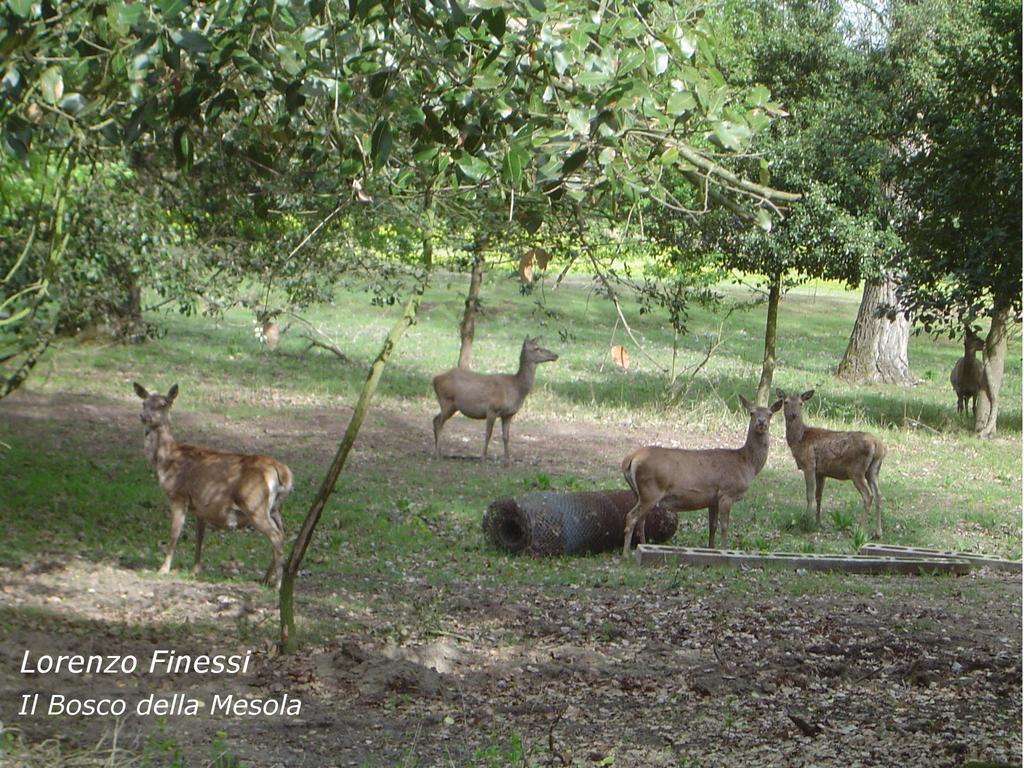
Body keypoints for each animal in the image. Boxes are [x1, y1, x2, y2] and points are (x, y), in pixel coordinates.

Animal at [133, 382, 292, 589]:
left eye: (163, 404)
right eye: (144, 402)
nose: (145, 416)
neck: (166, 461)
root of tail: (281, 471)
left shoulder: (179, 495)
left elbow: (174, 534)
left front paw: (163, 569)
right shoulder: (200, 506)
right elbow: (199, 537)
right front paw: (195, 570)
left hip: (254, 504)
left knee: (276, 536)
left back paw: (277, 584)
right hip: (275, 508)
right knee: (283, 534)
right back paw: (266, 579)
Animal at [432, 335, 561, 462]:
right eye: (537, 348)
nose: (555, 355)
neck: (517, 388)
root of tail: (434, 379)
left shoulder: (508, 414)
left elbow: (506, 437)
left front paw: (507, 460)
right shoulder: (492, 409)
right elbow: (488, 434)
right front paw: (483, 457)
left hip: (451, 406)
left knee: (435, 419)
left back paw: (438, 451)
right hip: (447, 401)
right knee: (439, 423)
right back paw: (438, 454)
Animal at [614, 397, 782, 561]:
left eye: (770, 414)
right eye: (752, 413)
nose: (761, 422)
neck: (746, 464)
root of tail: (630, 458)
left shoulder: (713, 499)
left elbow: (712, 526)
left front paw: (711, 549)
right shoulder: (726, 492)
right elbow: (725, 526)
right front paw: (724, 551)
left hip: (640, 493)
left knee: (641, 520)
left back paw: (643, 546)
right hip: (651, 490)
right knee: (631, 517)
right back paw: (625, 555)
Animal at [778, 391, 884, 540]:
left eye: (801, 403)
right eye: (786, 401)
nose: (794, 414)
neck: (799, 439)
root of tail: (878, 445)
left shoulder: (809, 464)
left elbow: (809, 494)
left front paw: (806, 520)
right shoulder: (820, 472)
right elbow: (819, 495)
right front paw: (817, 522)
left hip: (856, 470)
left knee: (868, 496)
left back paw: (860, 530)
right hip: (873, 471)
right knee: (878, 495)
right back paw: (878, 533)